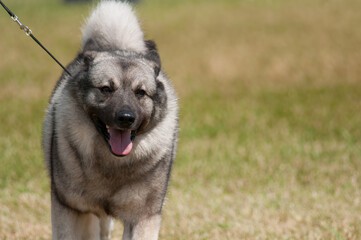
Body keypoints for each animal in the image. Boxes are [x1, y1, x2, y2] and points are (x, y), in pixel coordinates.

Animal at [42, 0, 177, 239]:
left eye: (140, 93)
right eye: (106, 89)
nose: (126, 118)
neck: (112, 162)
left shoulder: (143, 217)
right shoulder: (69, 208)